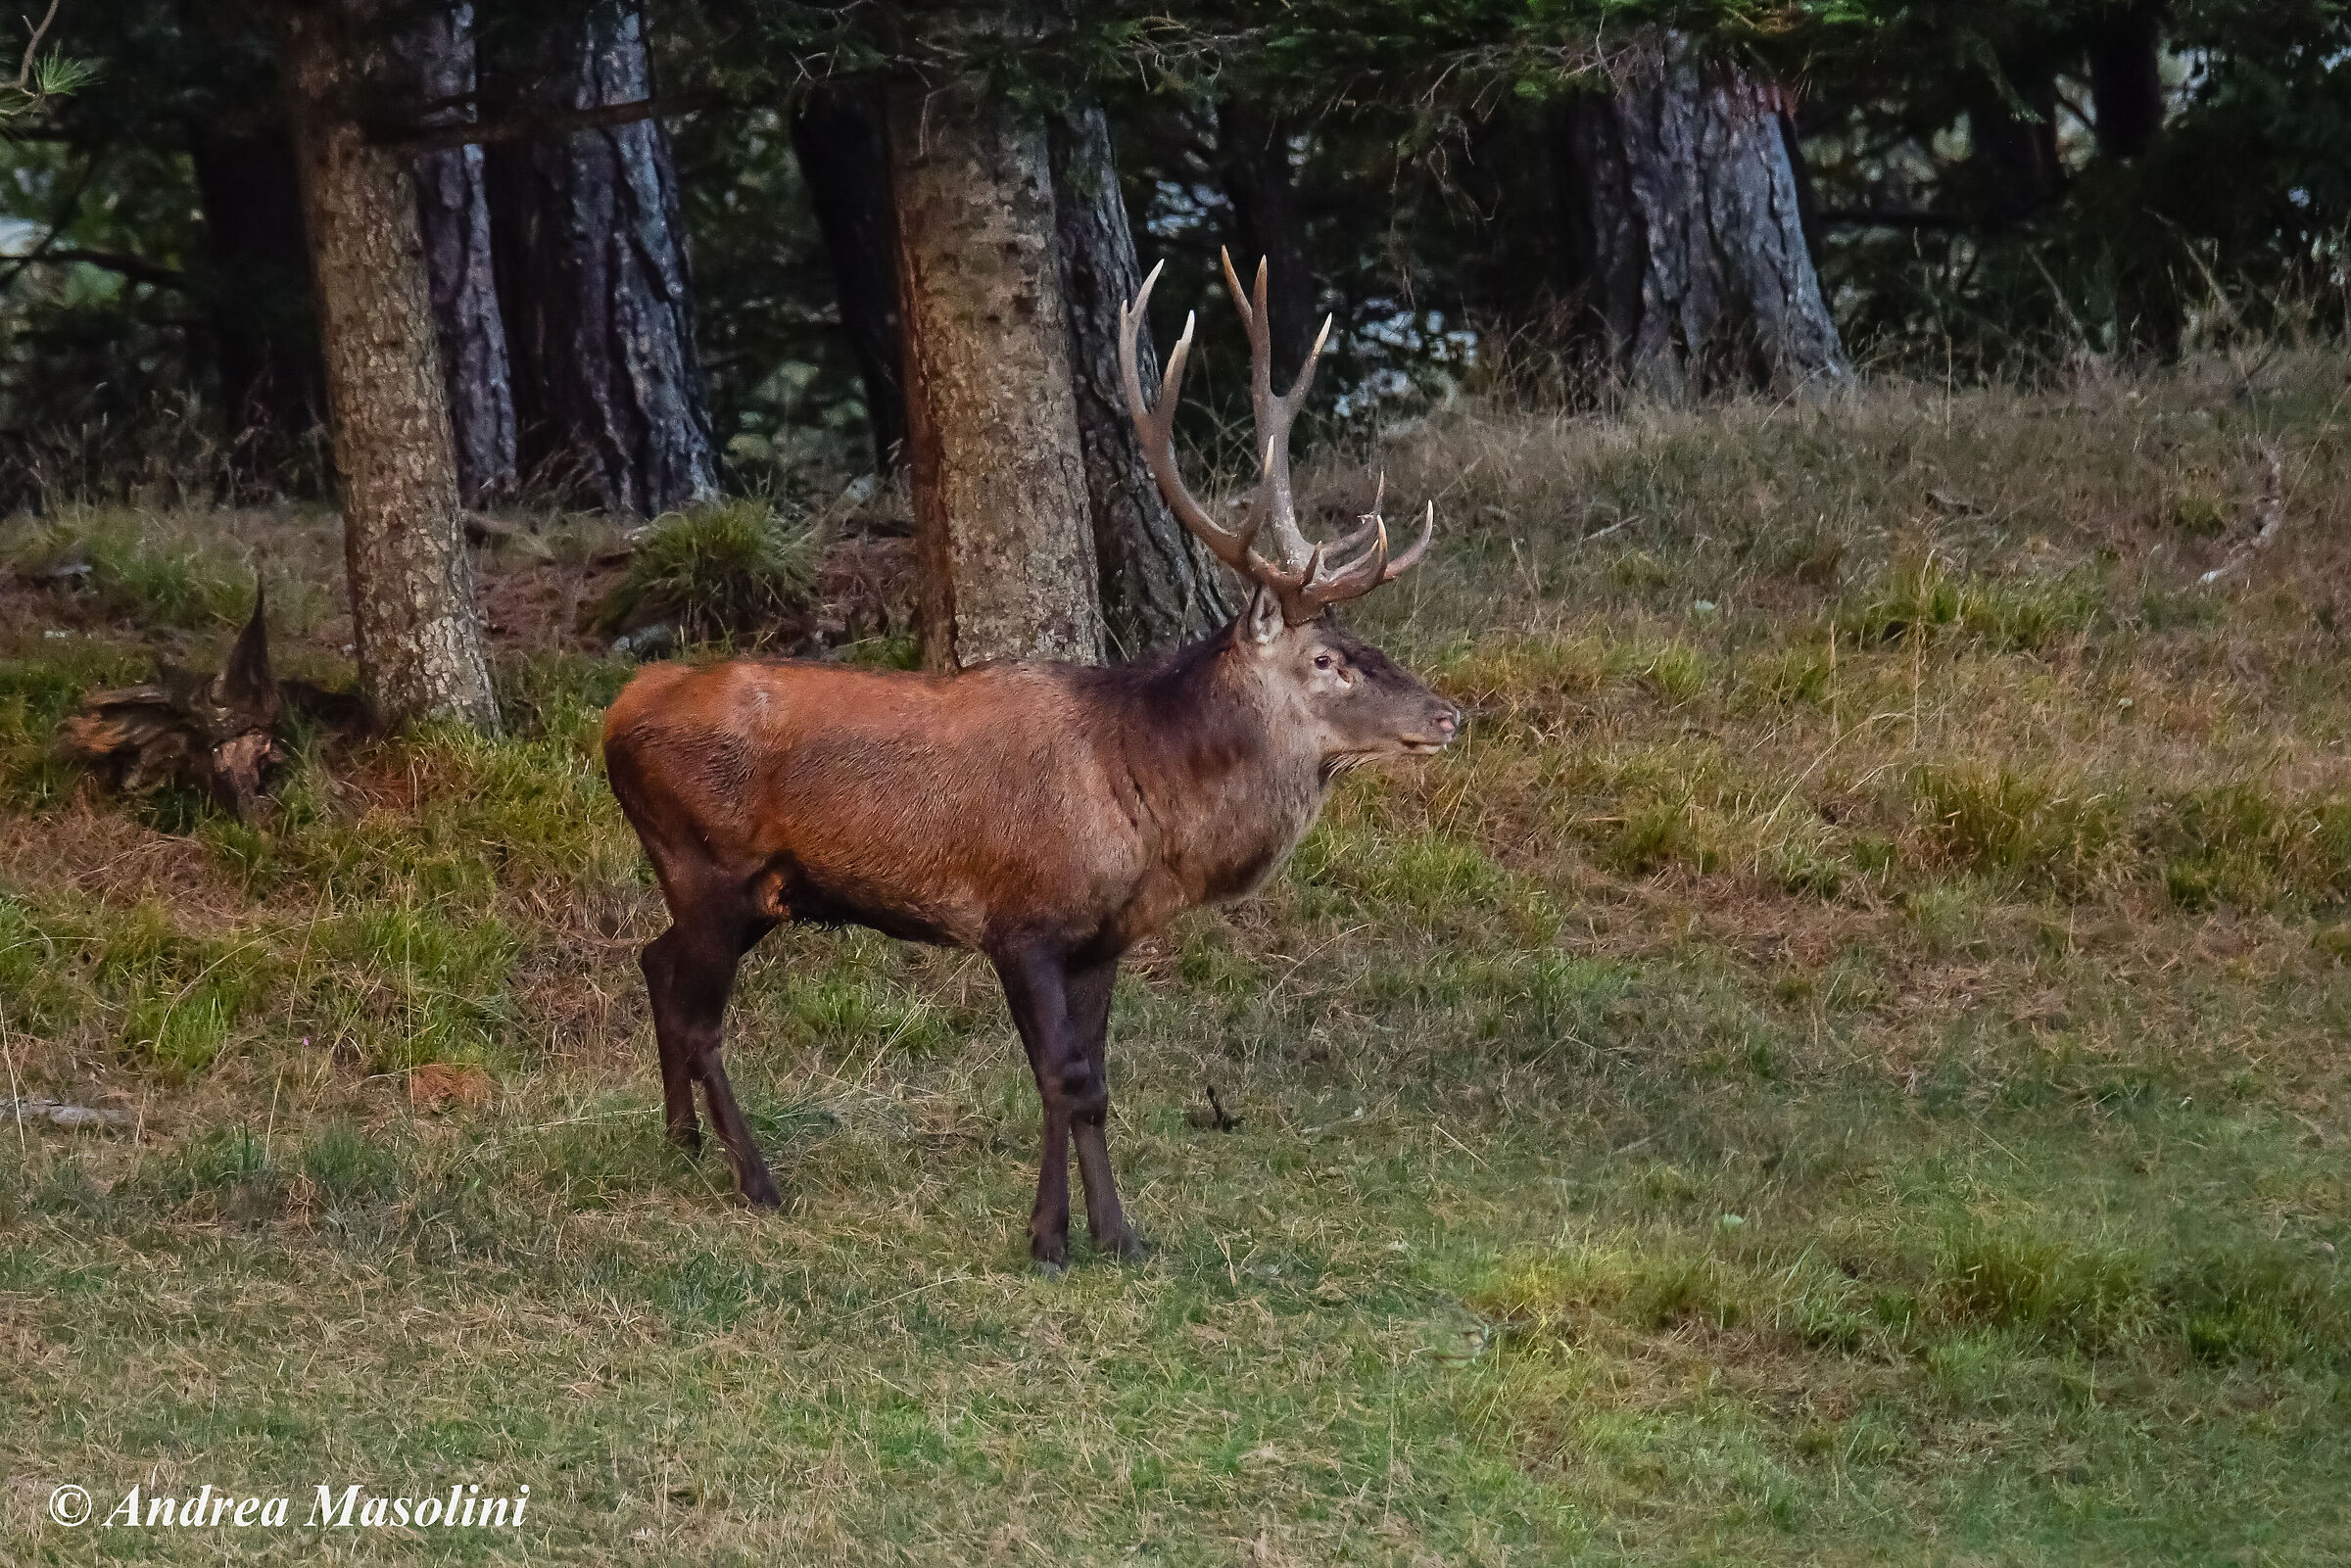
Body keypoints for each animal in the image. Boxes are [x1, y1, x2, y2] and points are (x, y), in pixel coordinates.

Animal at [601, 251, 1459, 1266]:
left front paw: (1117, 1234)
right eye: (1326, 659)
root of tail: (614, 714)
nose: (1448, 715)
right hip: (708, 864)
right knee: (700, 1017)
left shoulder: (1102, 938)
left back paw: (681, 1141)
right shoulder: (1020, 920)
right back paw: (758, 1180)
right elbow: (1064, 1078)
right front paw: (1050, 1238)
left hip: (740, 890)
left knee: (655, 964)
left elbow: (1094, 1082)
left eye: (1366, 639)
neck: (1145, 796)